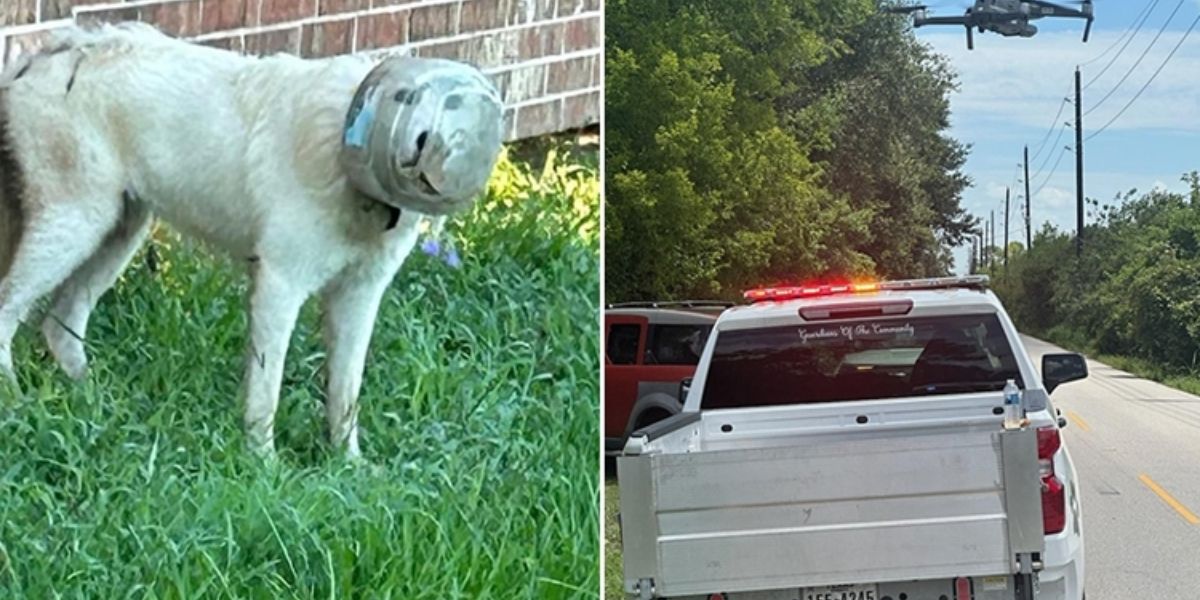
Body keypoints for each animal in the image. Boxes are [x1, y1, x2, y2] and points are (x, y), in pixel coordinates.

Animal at [0, 21, 504, 456]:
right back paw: (16, 402)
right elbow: (267, 389)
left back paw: (95, 404)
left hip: (119, 230)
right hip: (75, 223)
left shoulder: (360, 295)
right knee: (10, 309)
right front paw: (263, 463)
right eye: (411, 104)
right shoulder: (280, 284)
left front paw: (349, 465)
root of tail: (58, 50)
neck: (344, 145)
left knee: (61, 323)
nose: (429, 153)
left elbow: (346, 391)